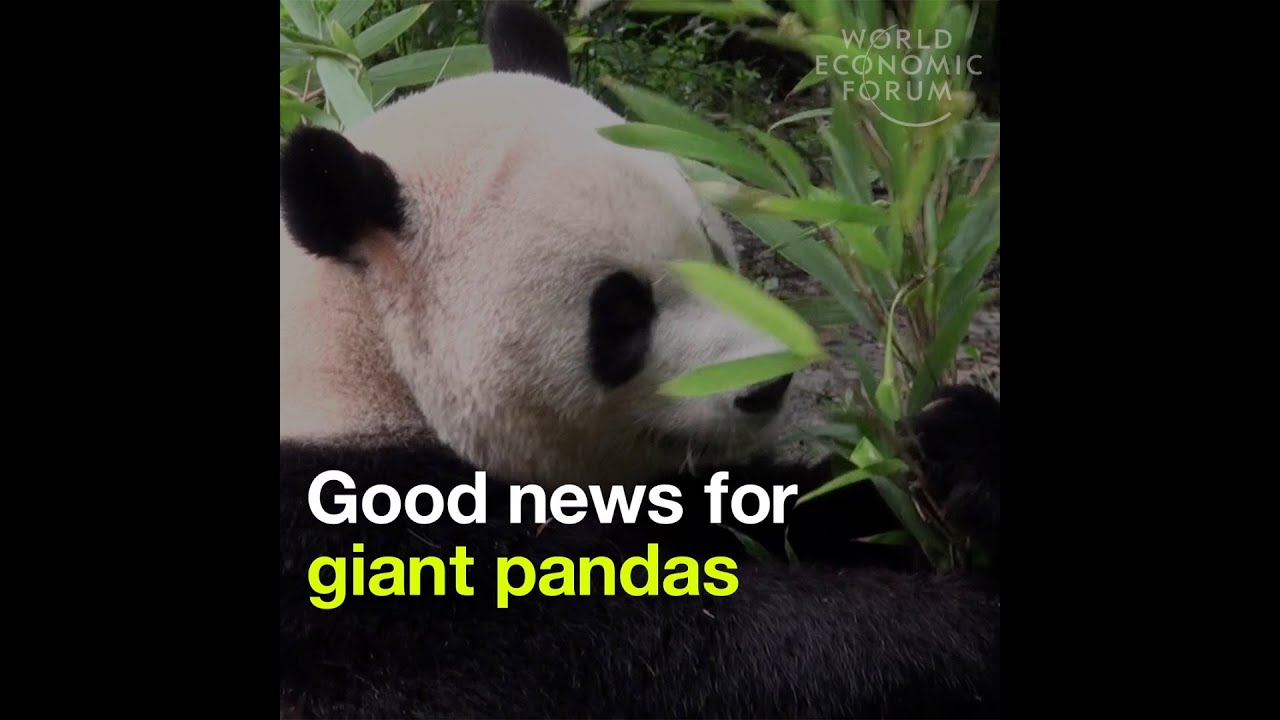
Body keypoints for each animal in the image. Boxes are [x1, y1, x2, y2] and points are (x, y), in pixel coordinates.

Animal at [278, 2, 1001, 718]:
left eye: (717, 253)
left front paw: (956, 444)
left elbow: (790, 506)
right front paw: (959, 624)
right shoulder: (365, 571)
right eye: (623, 314)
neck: (362, 364)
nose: (766, 384)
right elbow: (672, 653)